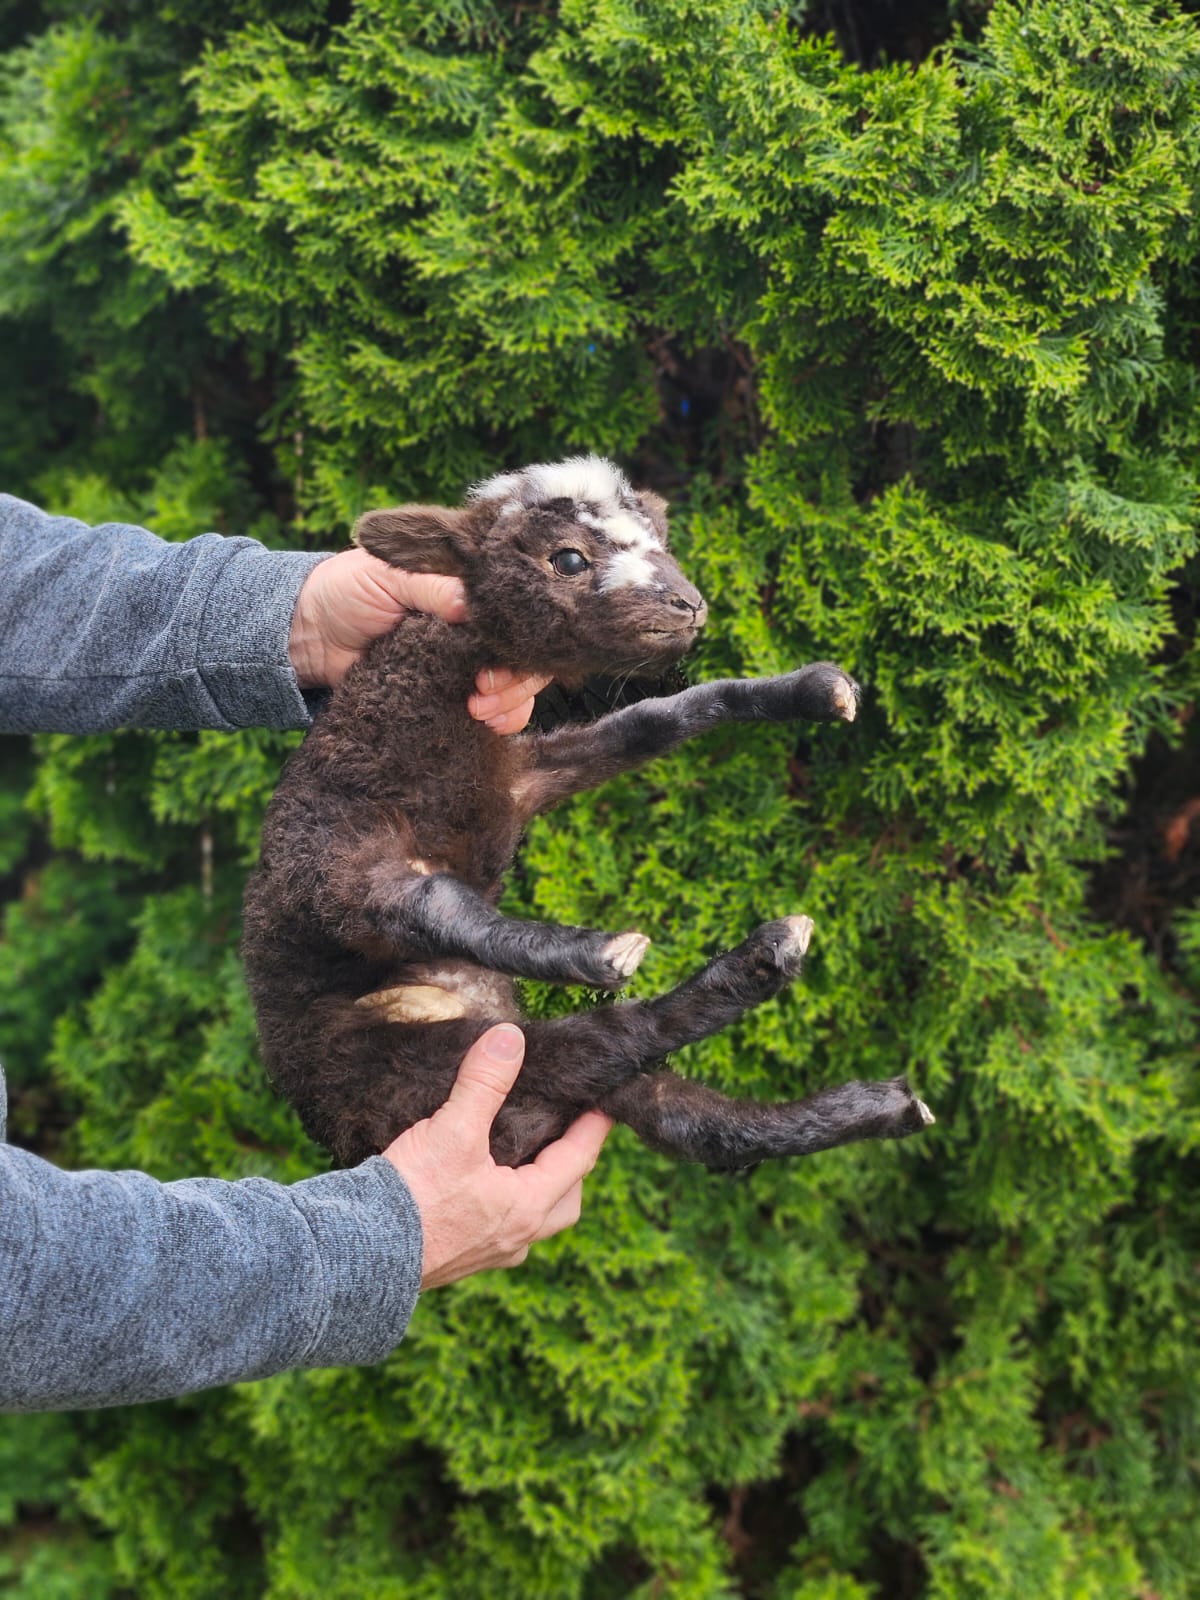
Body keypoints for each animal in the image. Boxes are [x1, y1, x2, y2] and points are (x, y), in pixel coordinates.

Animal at [241, 456, 934, 1171]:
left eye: (661, 540)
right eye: (567, 559)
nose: (689, 605)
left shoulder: (524, 777)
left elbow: (660, 719)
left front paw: (813, 690)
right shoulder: (330, 861)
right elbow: (432, 902)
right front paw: (592, 950)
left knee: (680, 1113)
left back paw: (880, 1105)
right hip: (423, 1063)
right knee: (603, 1043)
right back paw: (752, 960)